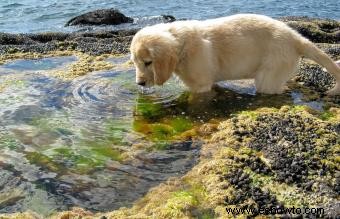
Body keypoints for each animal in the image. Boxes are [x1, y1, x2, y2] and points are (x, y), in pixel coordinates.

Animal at [129, 14, 340, 95]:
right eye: (135, 63)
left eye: (148, 62)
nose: (139, 84)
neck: (182, 45)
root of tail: (296, 38)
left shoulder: (201, 86)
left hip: (269, 73)